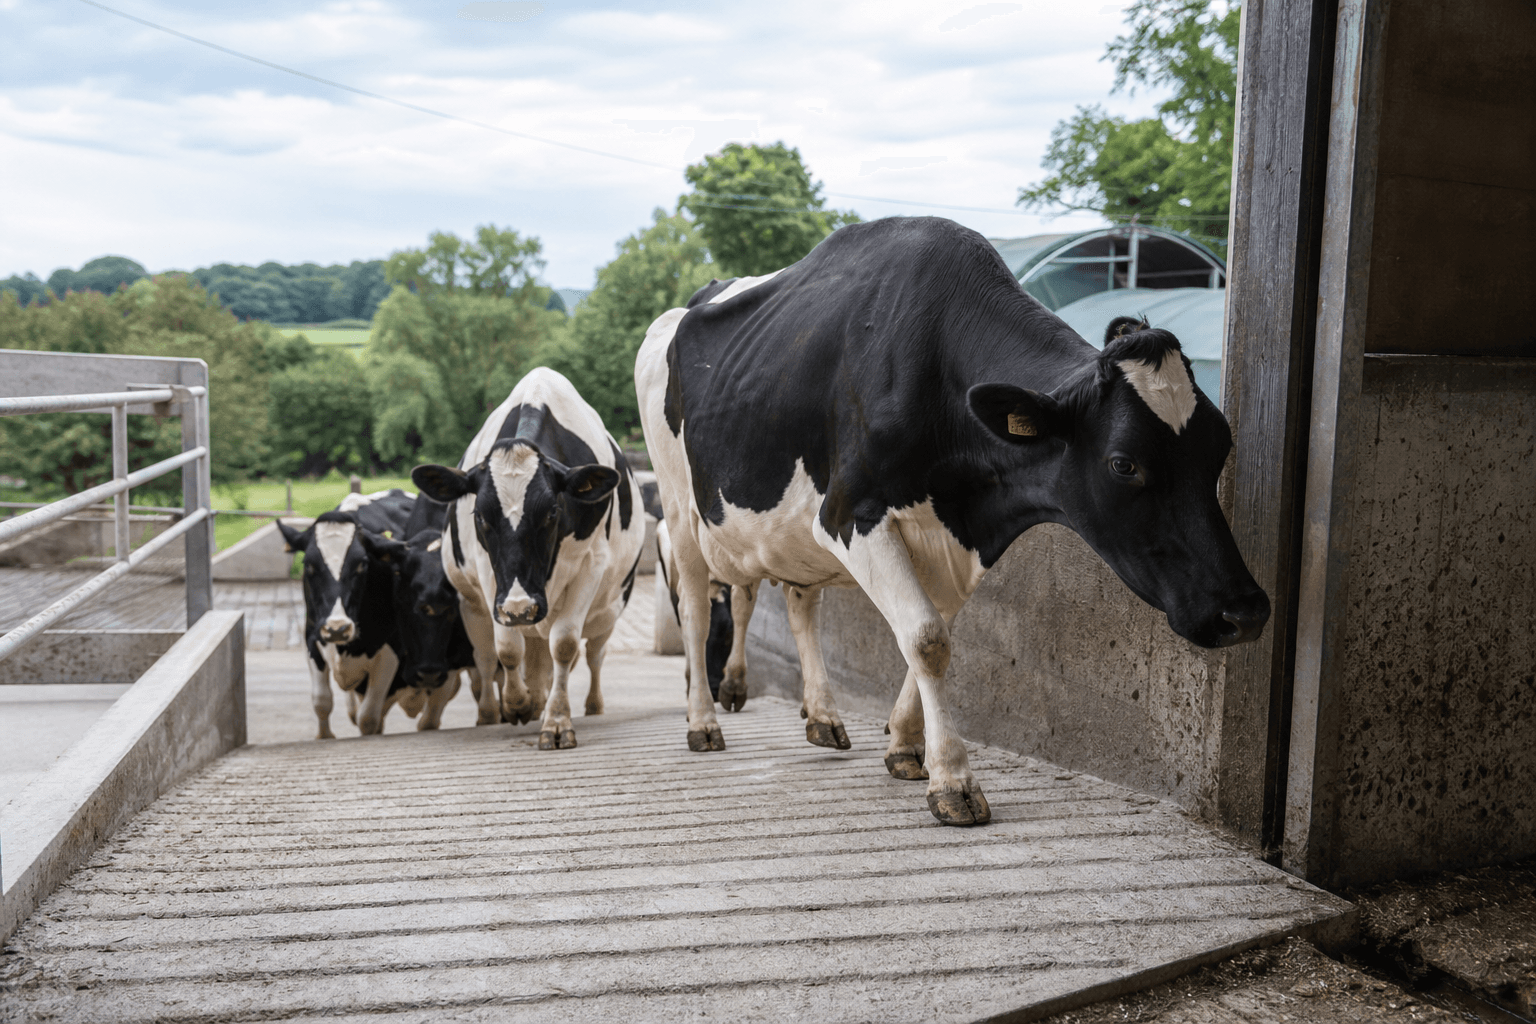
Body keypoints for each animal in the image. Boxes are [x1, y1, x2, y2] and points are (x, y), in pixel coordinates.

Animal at [278, 489, 415, 738]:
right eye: (309, 565)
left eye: (362, 564)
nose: (337, 628)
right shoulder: (313, 635)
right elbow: (321, 701)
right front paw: (324, 737)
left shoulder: (392, 649)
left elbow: (368, 717)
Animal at [411, 367, 647, 750]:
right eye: (480, 515)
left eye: (552, 511)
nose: (521, 606)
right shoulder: (492, 577)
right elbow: (507, 648)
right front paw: (516, 703)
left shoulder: (590, 566)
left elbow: (564, 645)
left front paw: (557, 722)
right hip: (474, 608)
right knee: (490, 655)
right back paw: (497, 710)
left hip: (607, 612)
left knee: (592, 655)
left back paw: (587, 704)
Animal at [634, 216, 1270, 826]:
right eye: (1124, 464)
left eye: (1221, 447)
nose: (1245, 612)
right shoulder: (849, 515)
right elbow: (927, 638)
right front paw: (954, 780)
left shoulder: (956, 536)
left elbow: (933, 631)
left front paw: (905, 745)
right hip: (681, 511)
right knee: (697, 612)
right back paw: (703, 722)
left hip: (780, 528)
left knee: (795, 600)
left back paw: (821, 713)